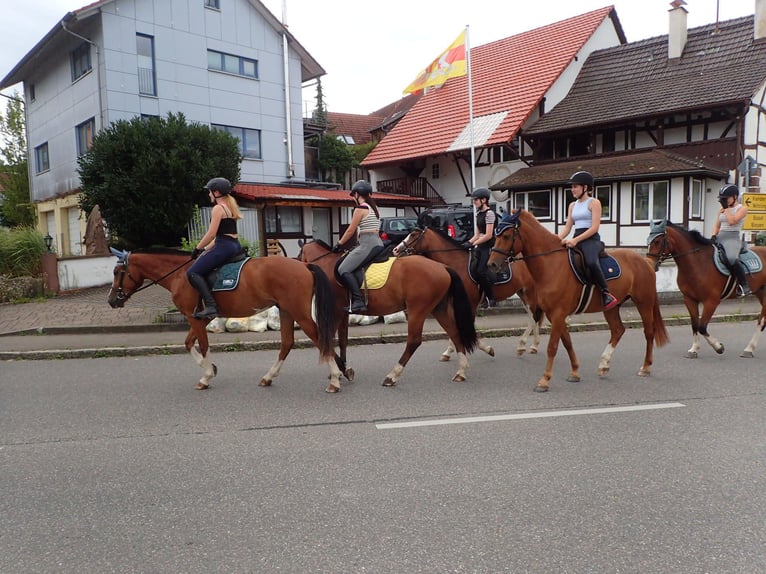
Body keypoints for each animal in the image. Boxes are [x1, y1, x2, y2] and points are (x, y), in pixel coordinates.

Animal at [106, 250, 340, 394]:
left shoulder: (193, 317)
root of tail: (305, 265)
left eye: (118, 272)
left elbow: (202, 344)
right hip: (286, 311)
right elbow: (189, 343)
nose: (111, 300)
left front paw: (207, 376)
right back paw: (269, 376)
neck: (180, 274)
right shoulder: (201, 318)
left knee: (319, 338)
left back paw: (335, 379)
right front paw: (210, 368)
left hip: (298, 312)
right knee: (287, 343)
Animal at [296, 238, 476, 392]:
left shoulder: (336, 313)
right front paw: (342, 370)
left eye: (299, 255)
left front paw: (342, 372)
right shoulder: (343, 314)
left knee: (414, 341)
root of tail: (442, 267)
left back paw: (392, 376)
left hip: (417, 310)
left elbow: (327, 340)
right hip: (439, 308)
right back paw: (461, 372)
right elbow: (342, 341)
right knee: (454, 333)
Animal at [396, 226, 544, 358]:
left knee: (534, 317)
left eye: (413, 235)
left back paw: (524, 345)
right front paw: (449, 352)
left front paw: (485, 349)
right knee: (533, 317)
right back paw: (533, 346)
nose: (396, 250)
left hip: (529, 292)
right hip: (522, 293)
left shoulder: (470, 304)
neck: (456, 263)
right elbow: (456, 328)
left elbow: (466, 327)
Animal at [488, 209, 668, 394]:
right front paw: (574, 371)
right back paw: (604, 364)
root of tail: (645, 261)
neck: (551, 265)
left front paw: (544, 380)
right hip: (611, 307)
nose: (492, 264)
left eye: (507, 236)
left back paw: (645, 367)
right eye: (496, 235)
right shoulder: (555, 315)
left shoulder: (558, 313)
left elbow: (552, 347)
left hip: (644, 302)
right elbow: (567, 342)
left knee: (649, 332)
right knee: (618, 330)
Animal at [648, 219, 766, 358]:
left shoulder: (711, 302)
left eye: (657, 241)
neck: (698, 262)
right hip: (760, 292)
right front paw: (694, 349)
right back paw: (749, 349)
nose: (649, 263)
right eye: (648, 240)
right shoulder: (689, 300)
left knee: (762, 321)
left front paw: (718, 347)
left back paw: (749, 349)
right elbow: (695, 324)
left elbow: (702, 327)